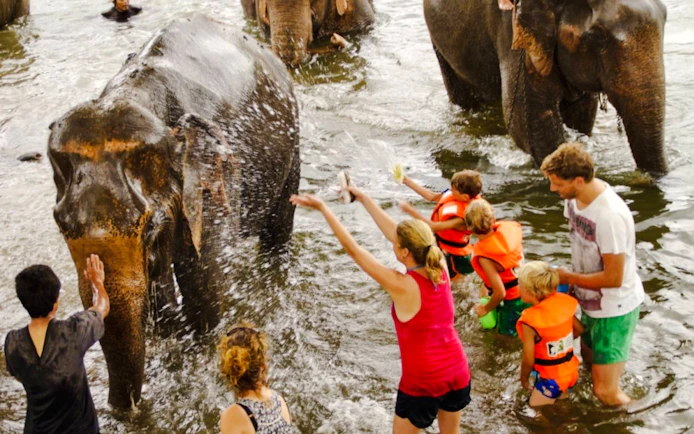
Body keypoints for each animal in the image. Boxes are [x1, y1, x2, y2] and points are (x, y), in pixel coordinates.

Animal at [47, 14, 300, 408]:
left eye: (149, 227)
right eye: (61, 224)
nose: (122, 411)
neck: (136, 95)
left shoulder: (213, 185)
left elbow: (205, 287)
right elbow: (158, 295)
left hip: (291, 145)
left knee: (278, 229)